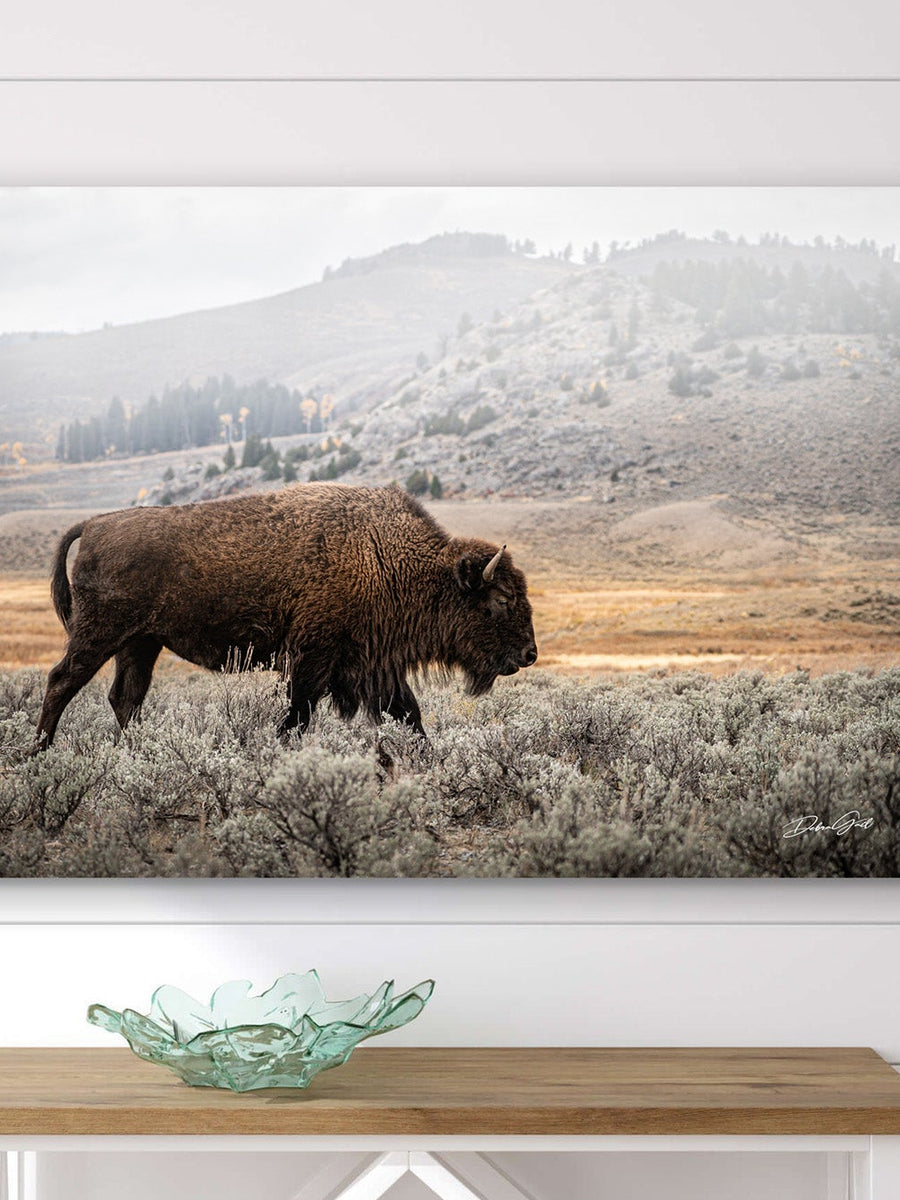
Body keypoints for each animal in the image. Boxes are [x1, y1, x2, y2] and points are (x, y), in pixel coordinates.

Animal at [33, 482, 537, 749]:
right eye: (501, 599)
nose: (530, 654)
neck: (385, 556)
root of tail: (94, 524)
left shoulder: (375, 666)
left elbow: (409, 715)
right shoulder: (315, 656)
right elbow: (298, 713)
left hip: (141, 642)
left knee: (126, 697)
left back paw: (141, 749)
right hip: (100, 634)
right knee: (63, 680)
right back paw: (40, 751)